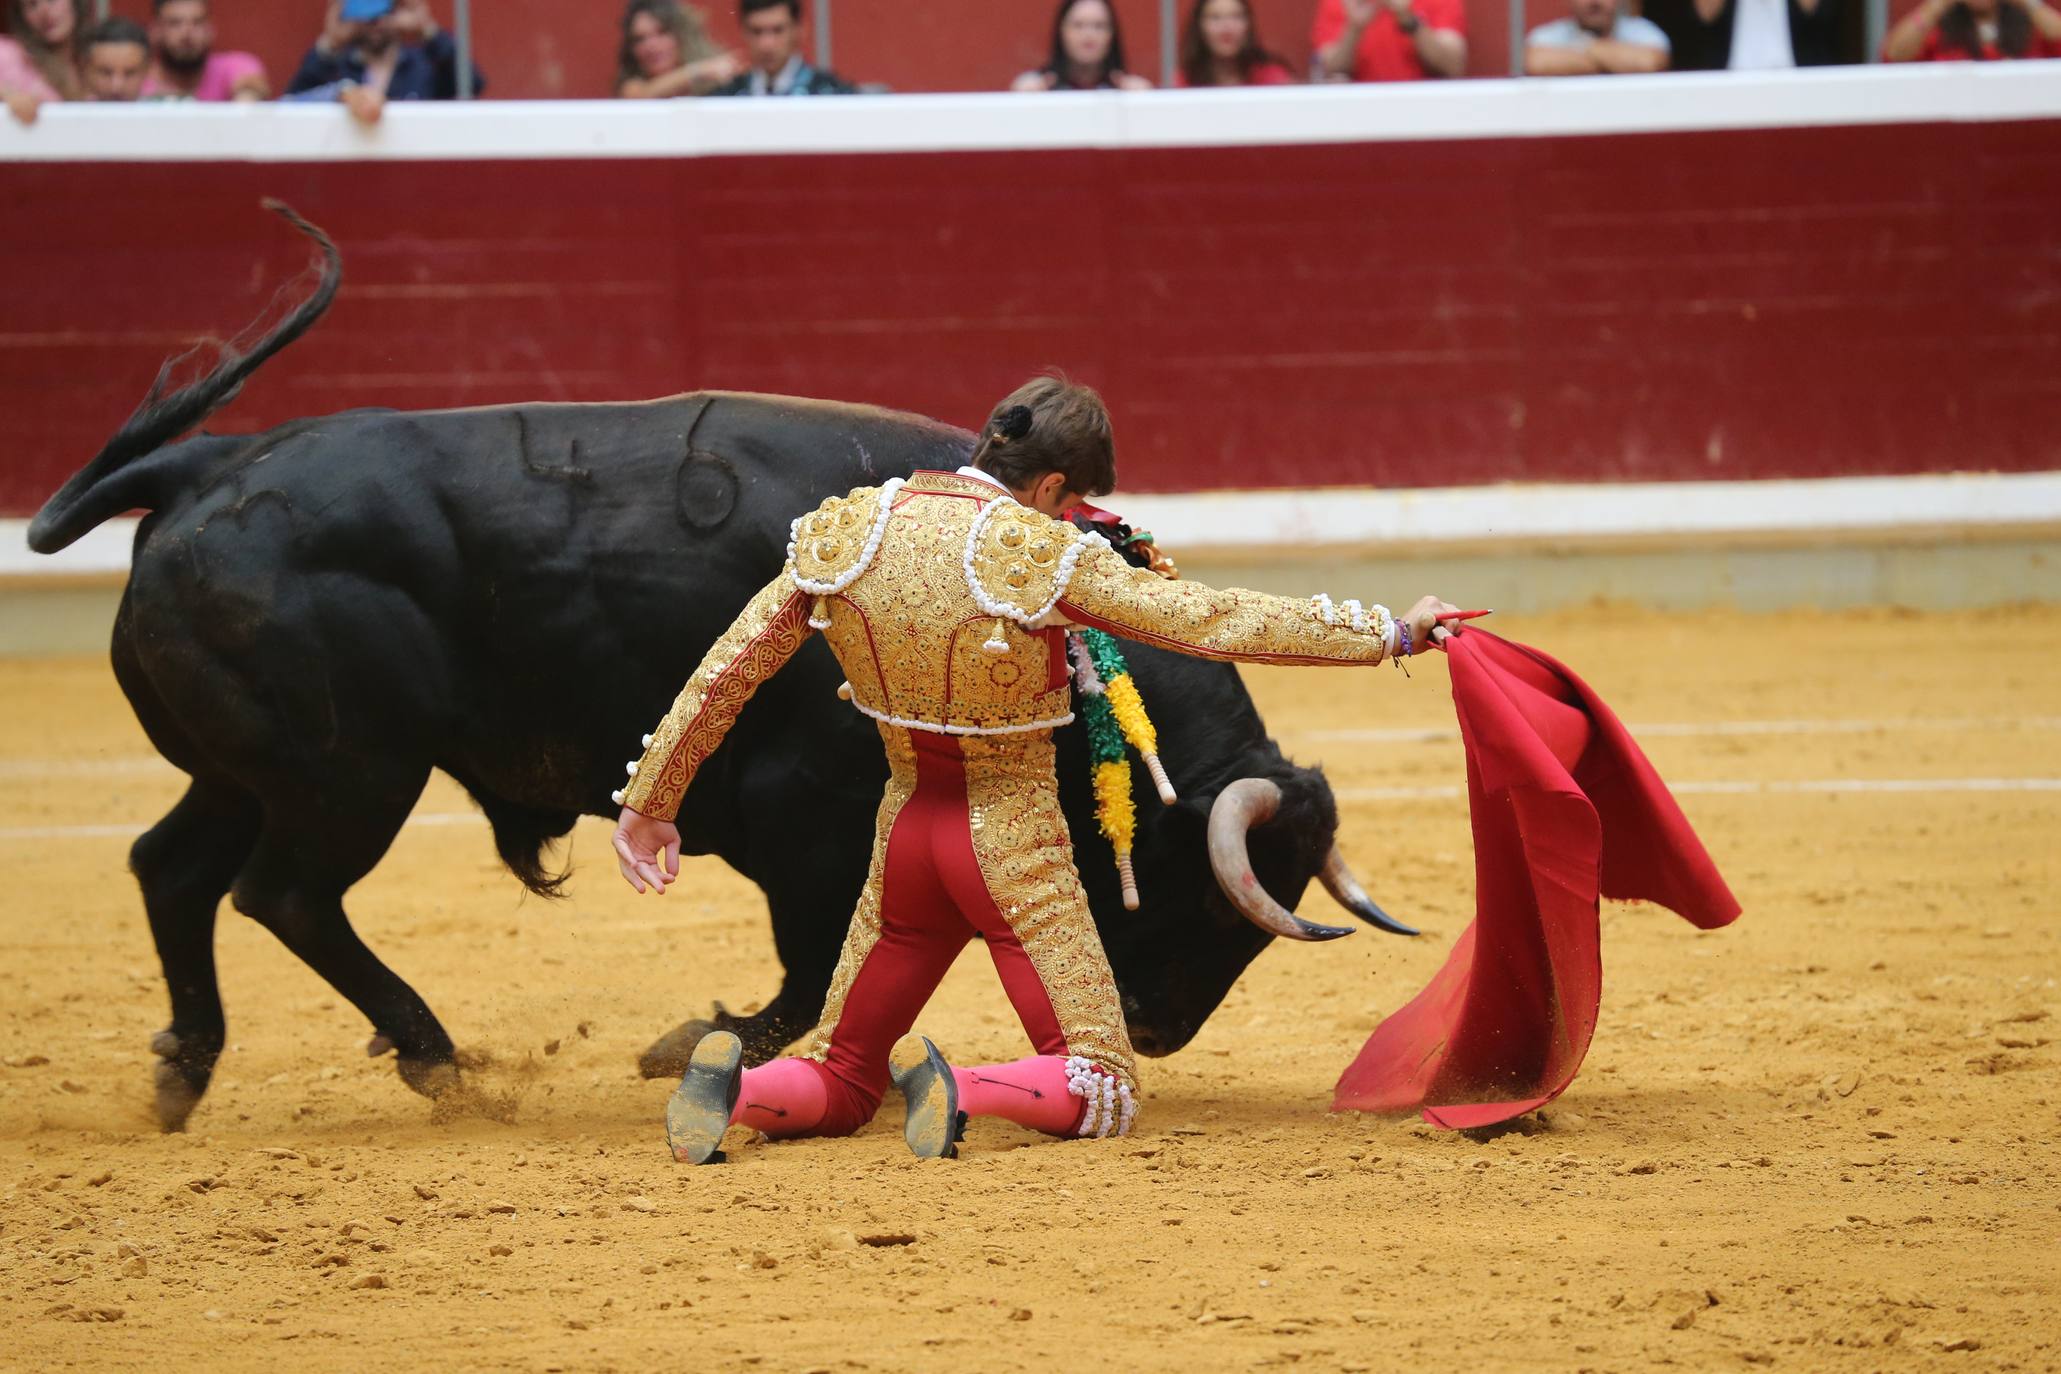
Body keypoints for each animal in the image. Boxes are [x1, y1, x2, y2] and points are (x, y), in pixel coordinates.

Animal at [24, 203, 1409, 1128]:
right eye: (1199, 893)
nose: (1159, 1033)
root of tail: (210, 465)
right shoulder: (804, 823)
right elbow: (806, 972)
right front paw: (697, 1042)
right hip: (347, 774)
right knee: (287, 895)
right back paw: (438, 1060)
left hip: (251, 770)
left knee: (173, 868)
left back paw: (184, 1070)